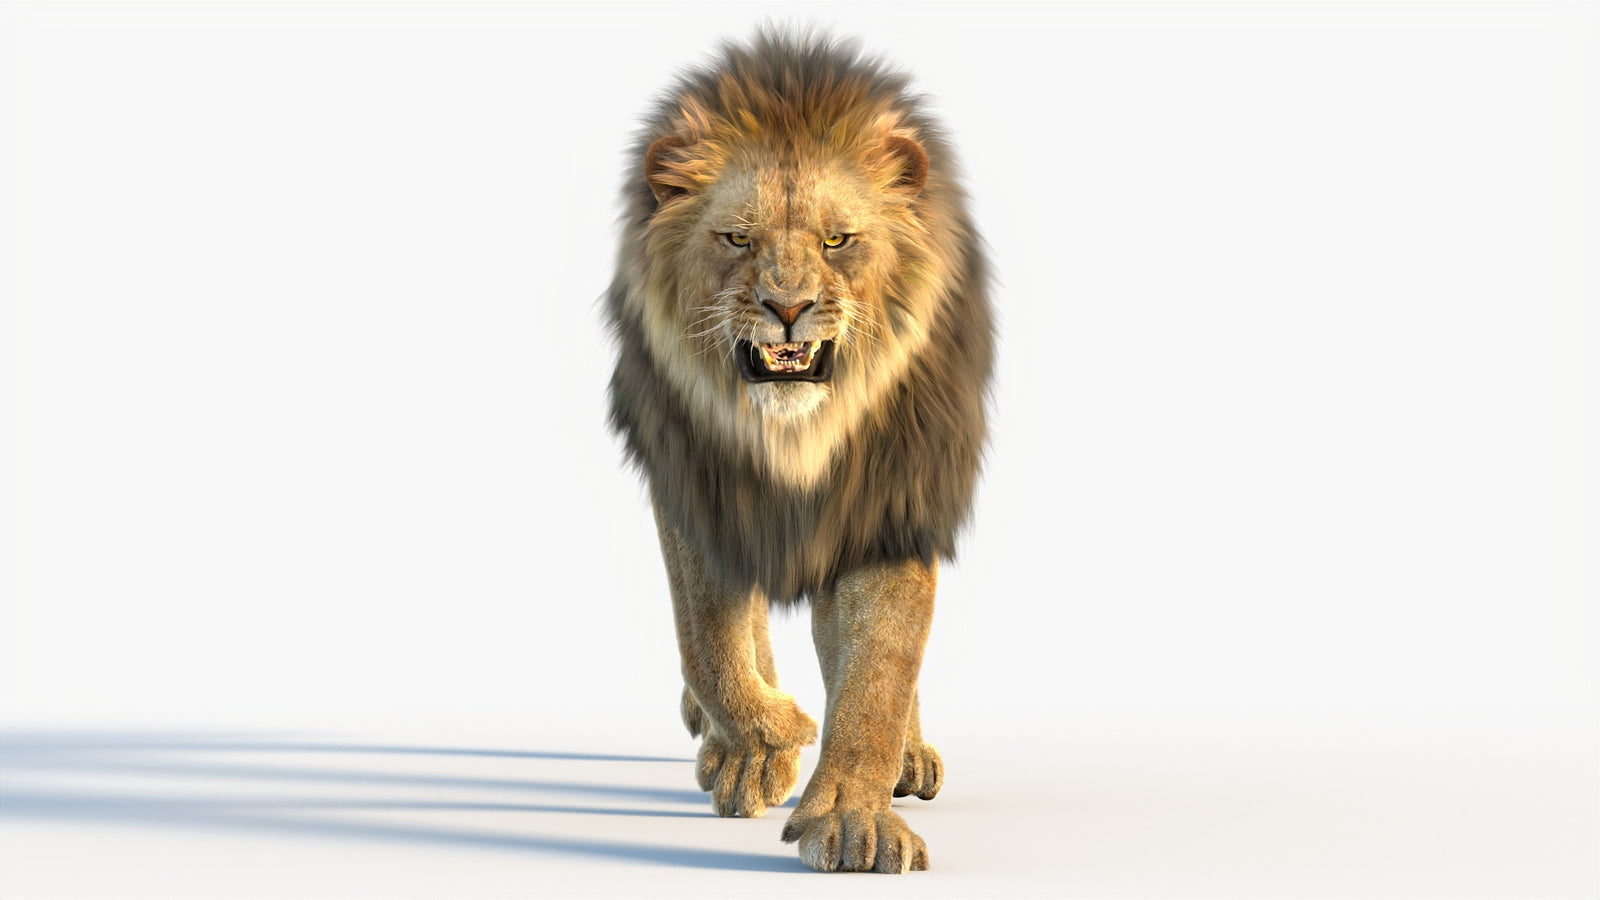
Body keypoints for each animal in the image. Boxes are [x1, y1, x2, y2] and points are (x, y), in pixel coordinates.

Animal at [605, 31, 993, 874]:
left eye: (837, 240)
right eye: (738, 238)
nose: (788, 307)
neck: (793, 437)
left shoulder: (891, 498)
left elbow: (879, 670)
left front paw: (853, 821)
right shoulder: (697, 483)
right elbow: (709, 639)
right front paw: (770, 740)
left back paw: (907, 758)